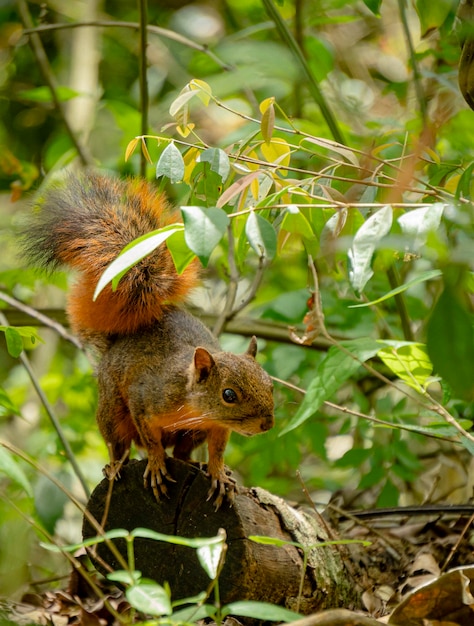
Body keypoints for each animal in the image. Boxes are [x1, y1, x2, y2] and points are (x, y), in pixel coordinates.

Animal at [22, 171, 274, 508]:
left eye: (270, 384)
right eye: (229, 395)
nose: (267, 424)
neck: (192, 404)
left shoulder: (215, 426)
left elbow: (218, 450)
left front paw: (219, 472)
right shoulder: (145, 400)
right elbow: (151, 440)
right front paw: (155, 465)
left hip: (190, 434)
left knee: (181, 452)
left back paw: (194, 463)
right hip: (112, 411)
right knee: (120, 445)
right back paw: (115, 466)